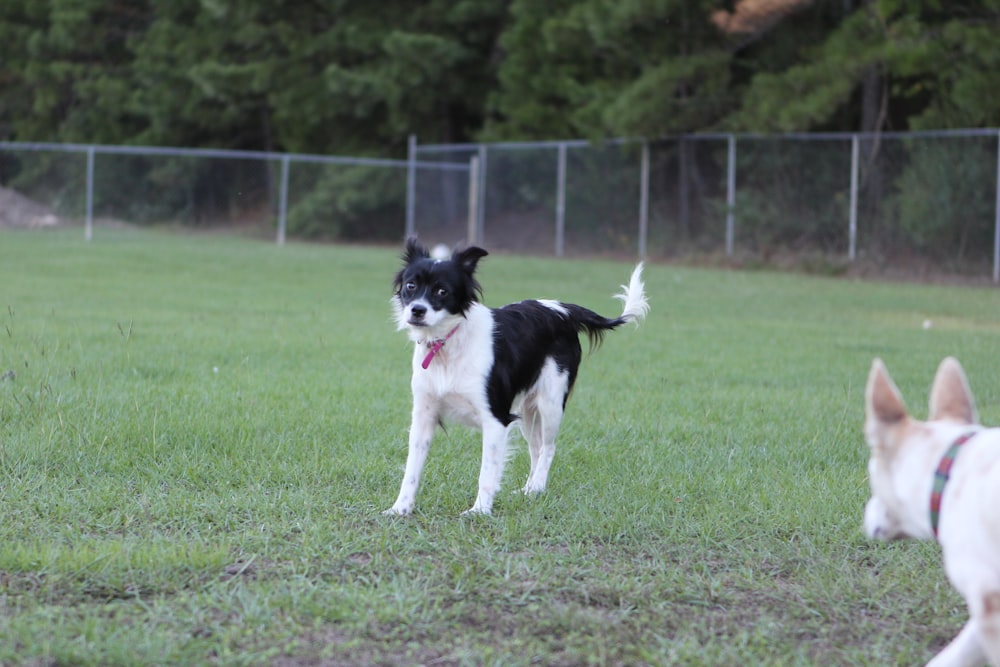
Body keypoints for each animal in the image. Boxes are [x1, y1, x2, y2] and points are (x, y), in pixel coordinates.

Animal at [382, 239, 648, 516]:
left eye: (442, 291)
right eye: (411, 286)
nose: (417, 310)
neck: (447, 344)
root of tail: (562, 309)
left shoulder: (496, 419)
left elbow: (487, 473)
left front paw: (479, 511)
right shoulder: (424, 417)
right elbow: (411, 470)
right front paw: (400, 508)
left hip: (551, 403)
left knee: (548, 447)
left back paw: (537, 488)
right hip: (528, 410)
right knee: (536, 447)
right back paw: (527, 490)